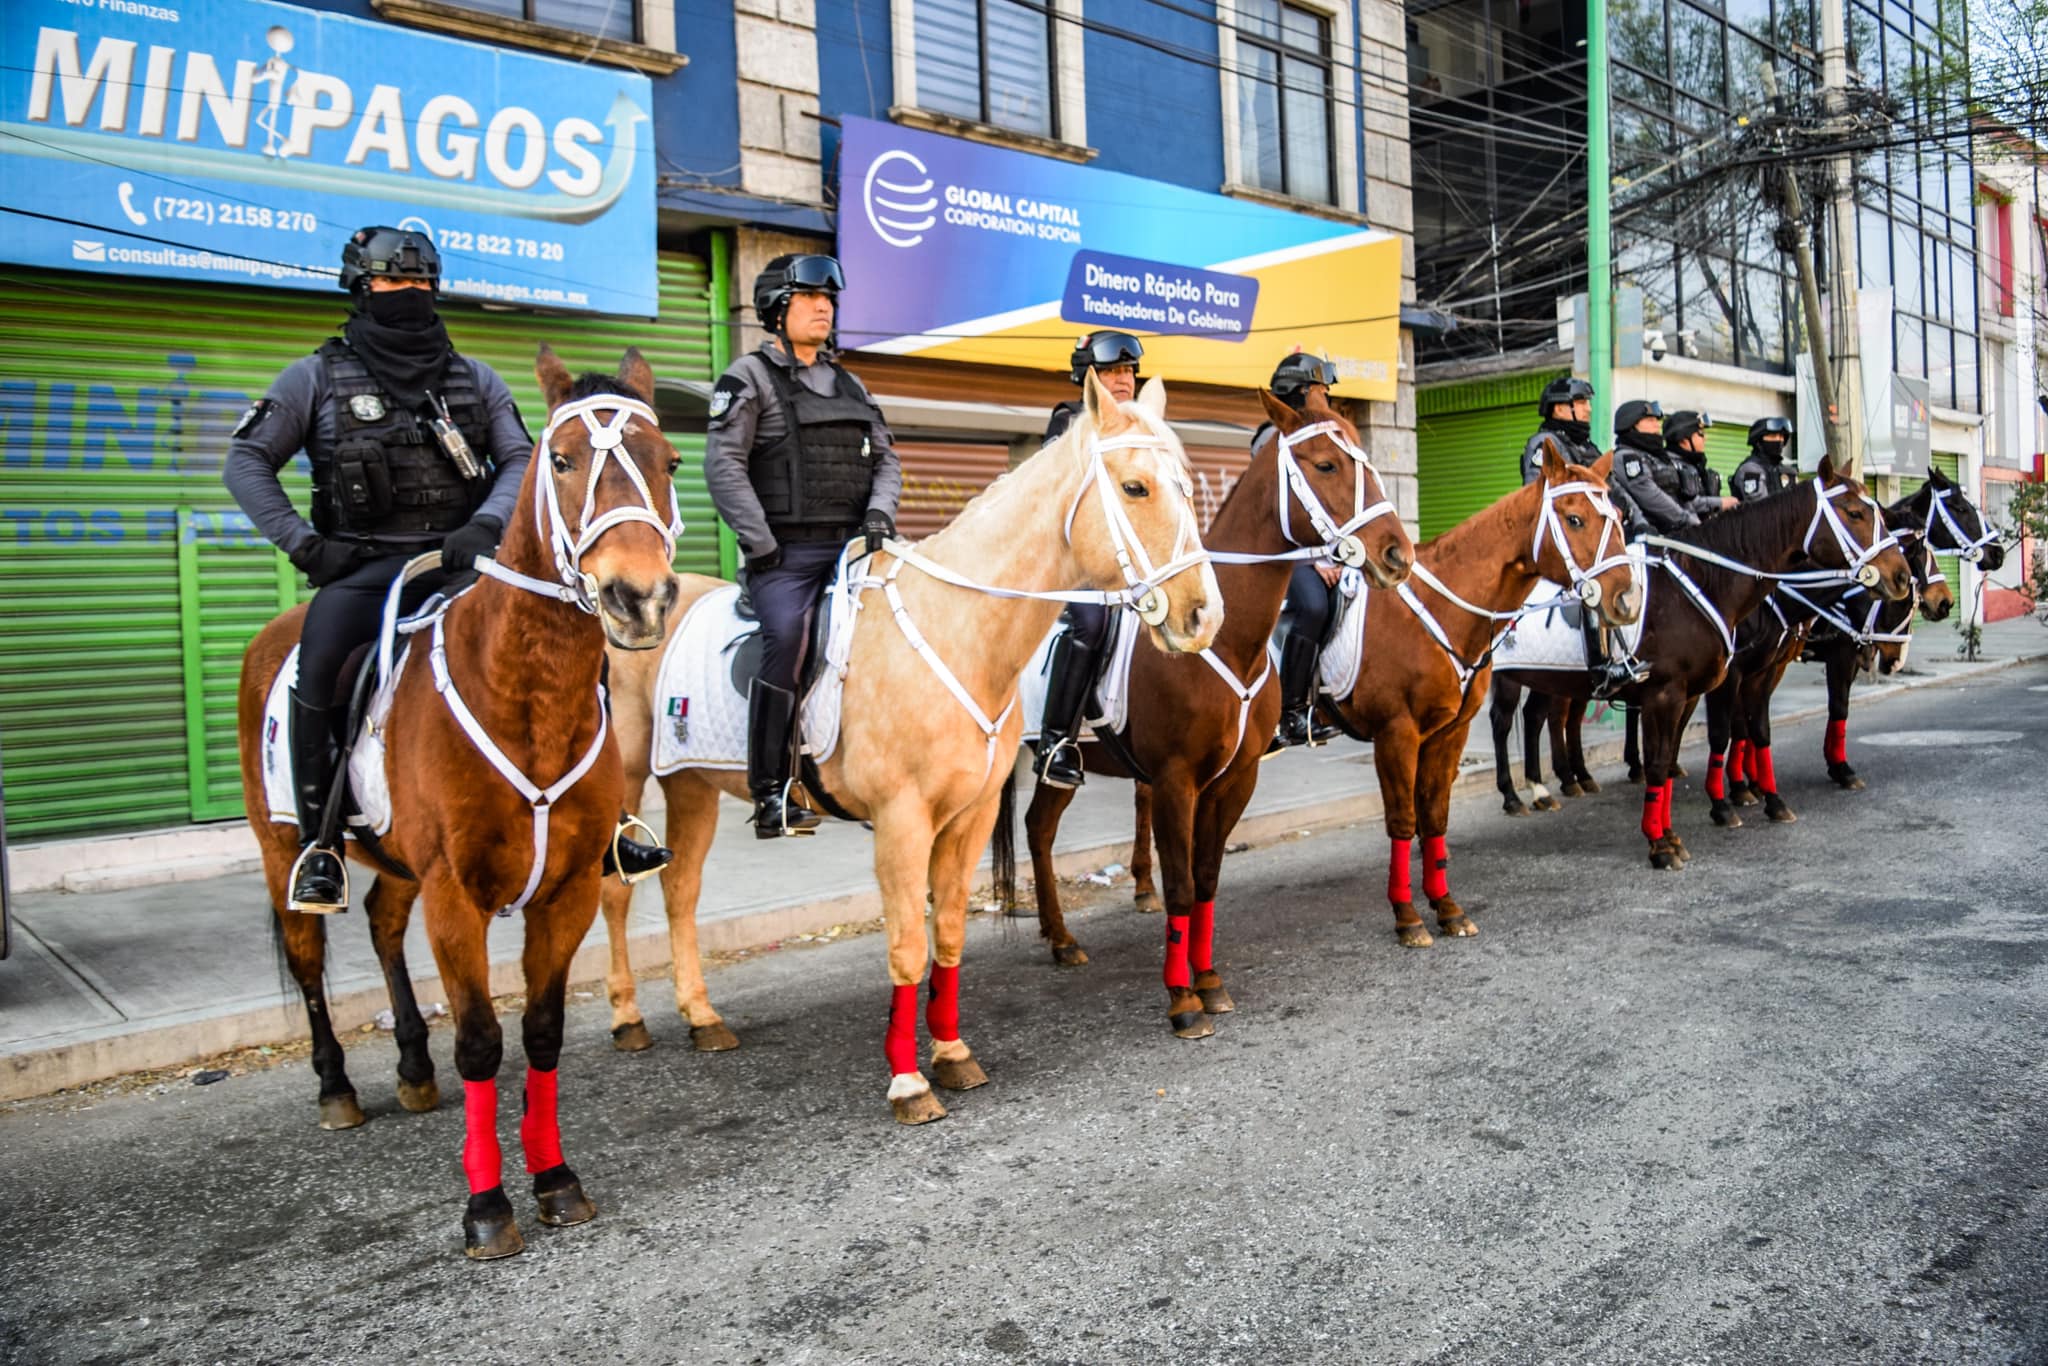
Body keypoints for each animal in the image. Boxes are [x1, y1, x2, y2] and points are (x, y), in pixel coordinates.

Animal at [231, 344, 679, 1261]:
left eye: (670, 462)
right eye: (562, 460)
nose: (639, 597)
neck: (527, 696)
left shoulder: (566, 891)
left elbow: (540, 1032)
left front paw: (555, 1178)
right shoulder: (454, 894)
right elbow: (480, 1041)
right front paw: (487, 1206)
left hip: (400, 865)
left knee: (380, 924)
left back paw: (410, 1066)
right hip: (280, 844)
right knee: (307, 955)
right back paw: (336, 1086)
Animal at [598, 370, 1220, 1122]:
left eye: (1187, 483)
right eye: (1135, 488)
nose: (1202, 615)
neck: (956, 627)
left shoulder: (970, 816)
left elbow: (946, 934)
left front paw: (951, 1054)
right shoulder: (901, 820)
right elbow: (905, 945)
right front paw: (907, 1080)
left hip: (690, 782)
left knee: (681, 890)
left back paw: (701, 1015)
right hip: (631, 779)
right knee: (617, 891)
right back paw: (628, 1017)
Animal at [1019, 393, 1417, 1036]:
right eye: (1327, 464)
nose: (1396, 553)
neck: (1226, 640)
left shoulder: (1234, 780)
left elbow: (1206, 878)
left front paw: (1207, 981)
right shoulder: (1175, 781)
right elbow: (1181, 885)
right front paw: (1182, 1000)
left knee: (1037, 827)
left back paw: (1059, 938)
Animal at [1318, 444, 1638, 946]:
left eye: (1619, 517)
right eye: (1574, 518)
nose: (1627, 600)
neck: (1438, 609)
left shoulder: (1448, 731)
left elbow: (1434, 813)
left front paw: (1446, 906)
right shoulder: (1396, 734)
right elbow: (1403, 817)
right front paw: (1407, 915)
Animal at [1482, 456, 1908, 864]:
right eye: (1854, 512)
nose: (1901, 577)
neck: (1697, 584)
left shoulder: (1728, 683)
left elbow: (1726, 741)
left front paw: (1684, 827)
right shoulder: (1669, 693)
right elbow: (1674, 755)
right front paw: (1669, 839)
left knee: (1543, 717)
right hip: (1509, 678)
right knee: (1507, 722)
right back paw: (1519, 794)